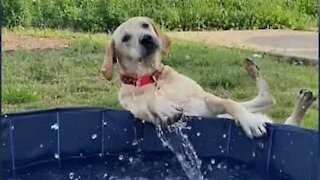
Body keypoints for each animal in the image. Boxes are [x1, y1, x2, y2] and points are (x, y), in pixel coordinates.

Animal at [101, 16, 316, 138]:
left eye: (145, 25)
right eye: (125, 38)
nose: (146, 38)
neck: (153, 79)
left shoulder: (206, 102)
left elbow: (230, 102)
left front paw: (248, 121)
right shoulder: (138, 111)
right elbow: (149, 103)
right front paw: (163, 107)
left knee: (269, 102)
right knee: (283, 115)